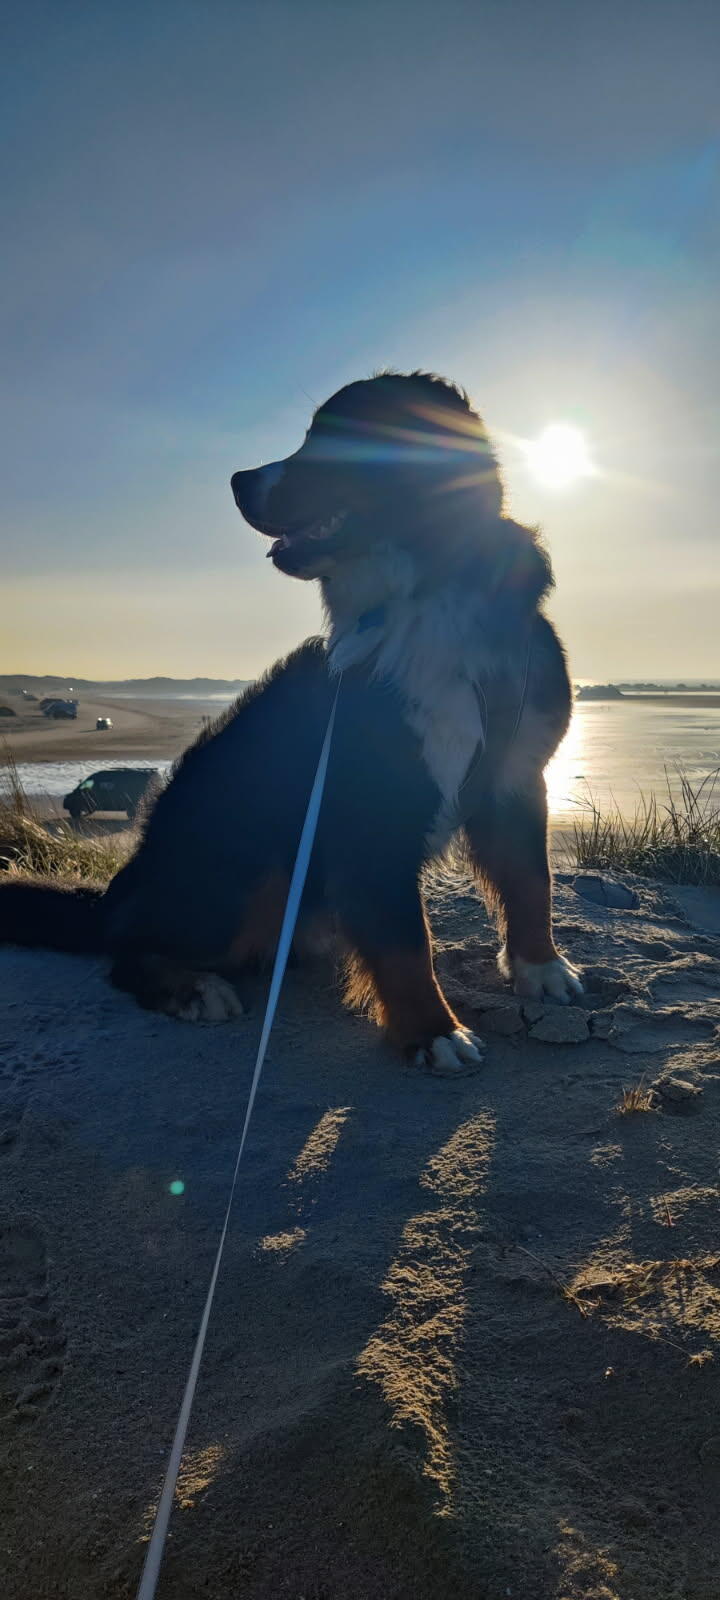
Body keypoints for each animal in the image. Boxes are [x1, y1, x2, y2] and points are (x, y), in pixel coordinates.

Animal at [0, 371, 581, 1073]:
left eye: (331, 438)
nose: (237, 479)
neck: (427, 594)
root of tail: (123, 887)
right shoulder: (368, 808)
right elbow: (404, 938)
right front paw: (433, 1031)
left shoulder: (516, 773)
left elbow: (530, 881)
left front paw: (541, 969)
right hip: (246, 865)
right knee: (128, 951)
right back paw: (193, 988)